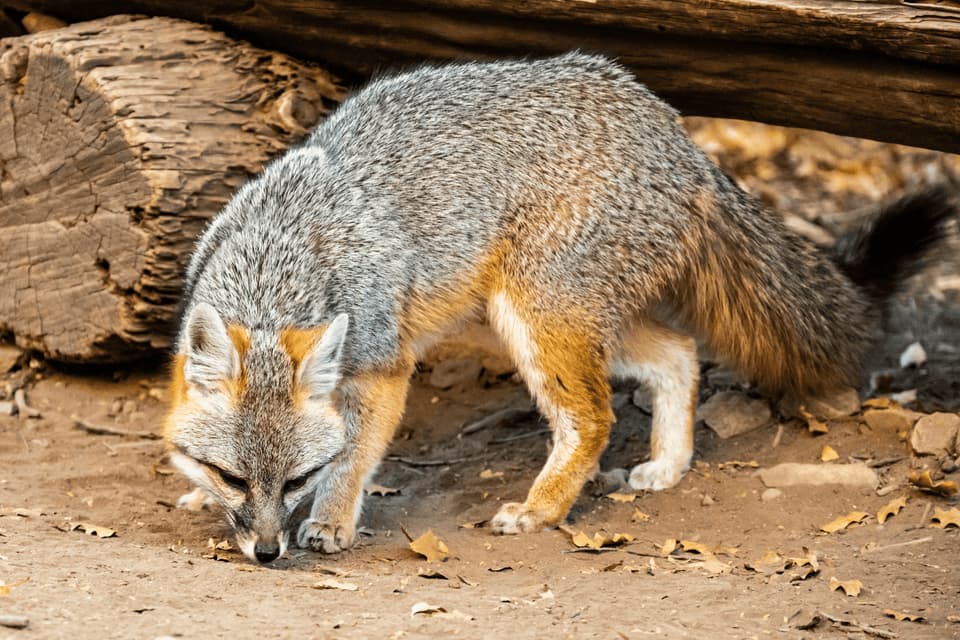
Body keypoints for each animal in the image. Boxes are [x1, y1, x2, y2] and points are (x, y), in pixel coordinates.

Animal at [164, 52, 955, 564]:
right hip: (529, 317)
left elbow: (353, 455)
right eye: (235, 476)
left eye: (295, 479)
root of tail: (677, 135)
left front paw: (330, 521)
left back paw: (541, 510)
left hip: (538, 321)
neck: (281, 250)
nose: (267, 552)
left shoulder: (383, 366)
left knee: (594, 418)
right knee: (679, 353)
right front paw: (201, 496)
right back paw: (668, 466)